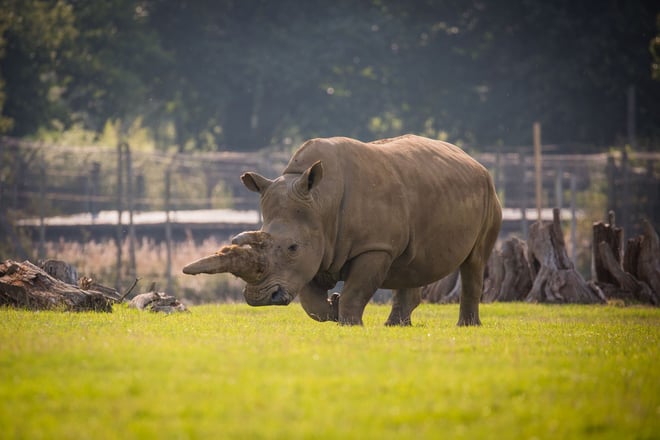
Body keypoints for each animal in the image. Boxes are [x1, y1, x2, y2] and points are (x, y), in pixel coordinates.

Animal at [183, 134, 502, 326]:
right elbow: (311, 303)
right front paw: (332, 311)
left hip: (488, 193)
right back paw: (395, 327)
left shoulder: (373, 246)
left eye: (291, 247)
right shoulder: (315, 248)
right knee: (411, 264)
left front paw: (349, 323)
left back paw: (466, 326)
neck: (321, 202)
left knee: (474, 262)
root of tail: (473, 161)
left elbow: (356, 291)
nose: (259, 298)